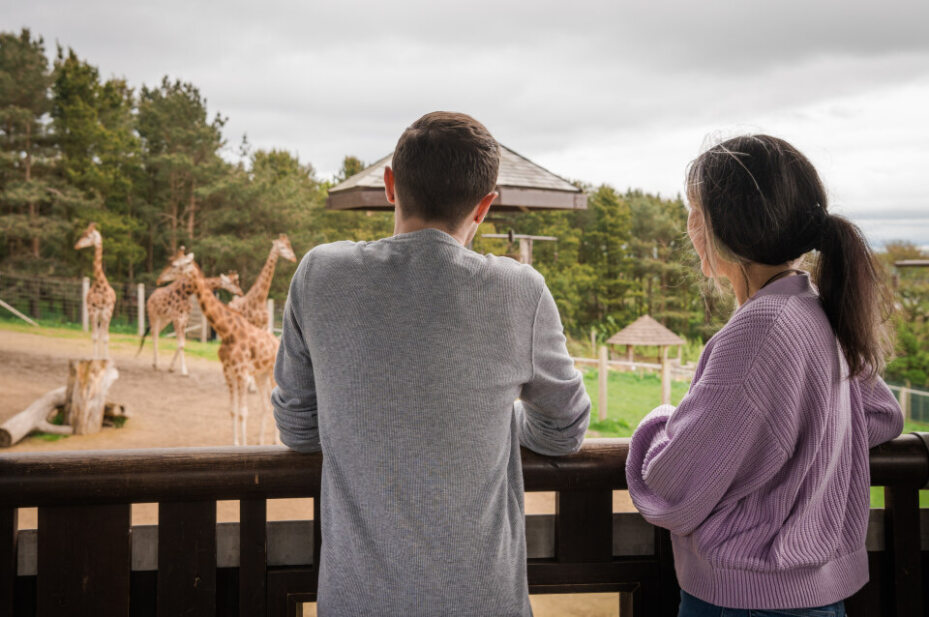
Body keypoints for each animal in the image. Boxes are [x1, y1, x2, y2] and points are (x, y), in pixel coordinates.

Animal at [75, 223, 118, 358]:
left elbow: (105, 337)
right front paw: (95, 359)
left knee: (103, 334)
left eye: (89, 236)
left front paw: (106, 359)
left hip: (106, 315)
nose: (77, 245)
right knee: (98, 334)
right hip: (97, 315)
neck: (99, 285)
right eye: (82, 234)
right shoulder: (92, 310)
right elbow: (94, 336)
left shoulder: (107, 311)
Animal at [158, 253, 280, 446]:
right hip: (261, 374)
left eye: (176, 265)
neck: (227, 332)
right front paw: (236, 443)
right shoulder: (228, 372)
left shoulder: (242, 373)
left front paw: (243, 444)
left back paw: (276, 441)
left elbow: (243, 412)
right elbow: (233, 410)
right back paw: (261, 441)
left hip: (271, 374)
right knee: (266, 404)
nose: (160, 278)